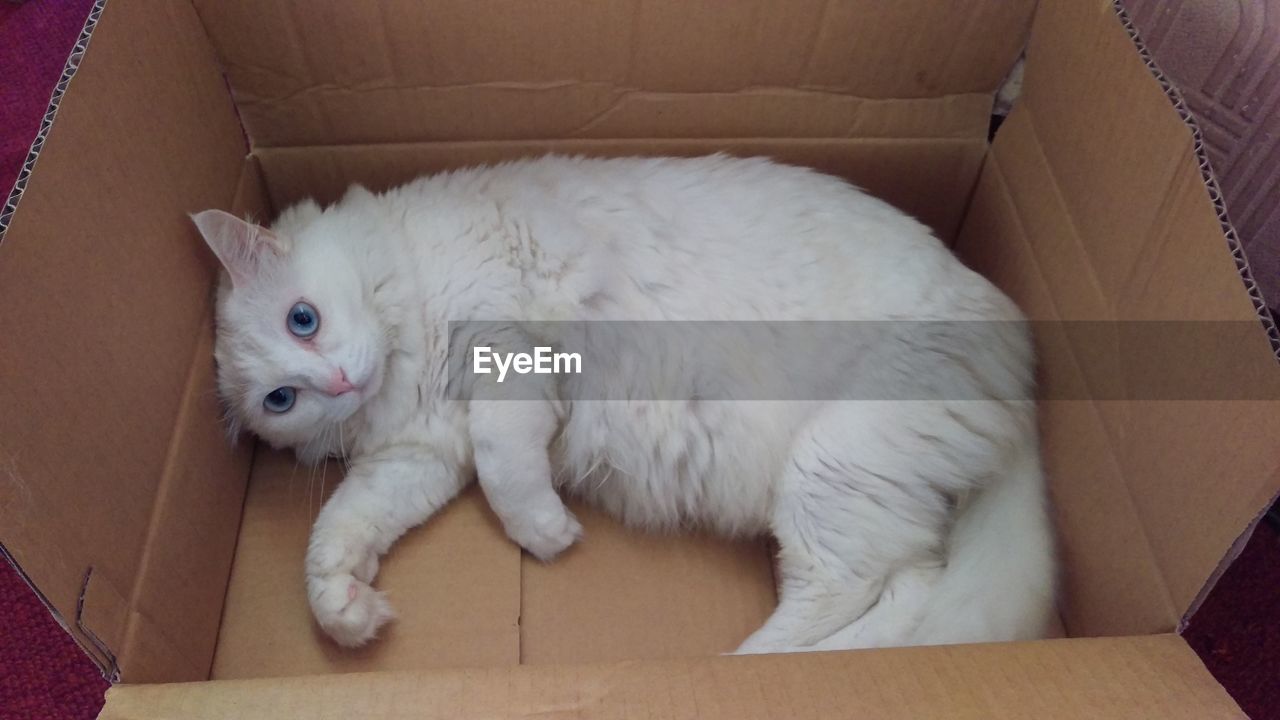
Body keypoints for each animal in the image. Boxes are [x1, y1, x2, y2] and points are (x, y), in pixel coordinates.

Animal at [186, 155, 1049, 650]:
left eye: (303, 319)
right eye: (281, 399)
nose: (337, 385)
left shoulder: (509, 348)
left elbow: (506, 467)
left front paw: (548, 533)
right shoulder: (417, 457)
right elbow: (340, 529)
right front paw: (344, 608)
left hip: (831, 469)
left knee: (859, 595)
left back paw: (746, 668)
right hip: (857, 493)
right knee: (910, 595)